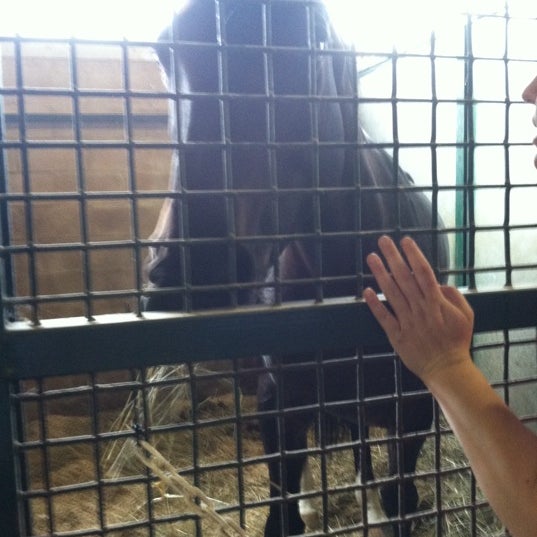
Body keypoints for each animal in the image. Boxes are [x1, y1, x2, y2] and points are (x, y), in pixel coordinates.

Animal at [142, 2, 448, 532]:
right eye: (164, 51)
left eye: (308, 37)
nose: (192, 270)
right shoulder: (277, 404)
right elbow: (281, 512)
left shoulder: (413, 413)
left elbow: (400, 498)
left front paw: (378, 508)